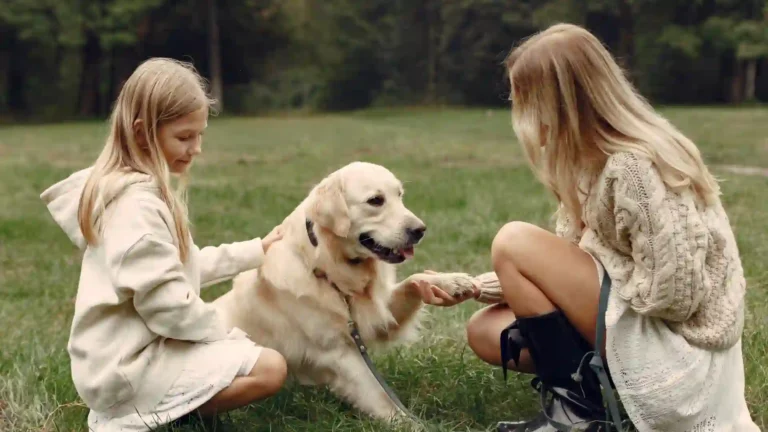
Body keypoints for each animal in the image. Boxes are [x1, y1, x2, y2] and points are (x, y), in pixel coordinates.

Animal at [213, 162, 476, 422]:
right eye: (376, 200)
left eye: (399, 195)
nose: (420, 230)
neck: (327, 268)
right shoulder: (337, 351)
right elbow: (381, 396)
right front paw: (409, 424)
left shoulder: (376, 315)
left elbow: (415, 279)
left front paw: (451, 282)